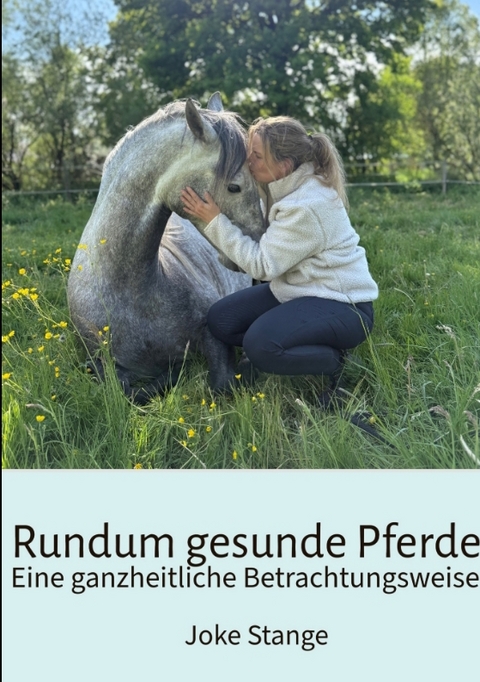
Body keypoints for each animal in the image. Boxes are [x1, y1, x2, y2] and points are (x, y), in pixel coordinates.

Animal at [67, 93, 265, 404]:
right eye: (234, 187)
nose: (260, 242)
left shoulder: (213, 334)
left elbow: (222, 384)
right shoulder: (102, 361)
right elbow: (122, 388)